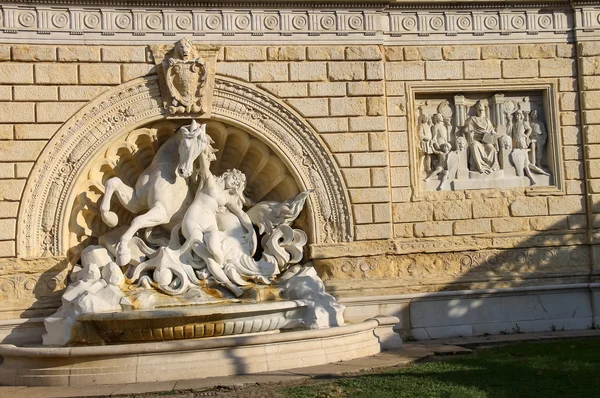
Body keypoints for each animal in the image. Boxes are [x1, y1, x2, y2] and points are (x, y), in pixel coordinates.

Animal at [101, 119, 209, 266]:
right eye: (186, 144)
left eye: (200, 150)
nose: (185, 171)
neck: (161, 170)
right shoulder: (136, 202)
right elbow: (112, 182)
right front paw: (110, 218)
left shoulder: (163, 213)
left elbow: (137, 220)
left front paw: (122, 252)